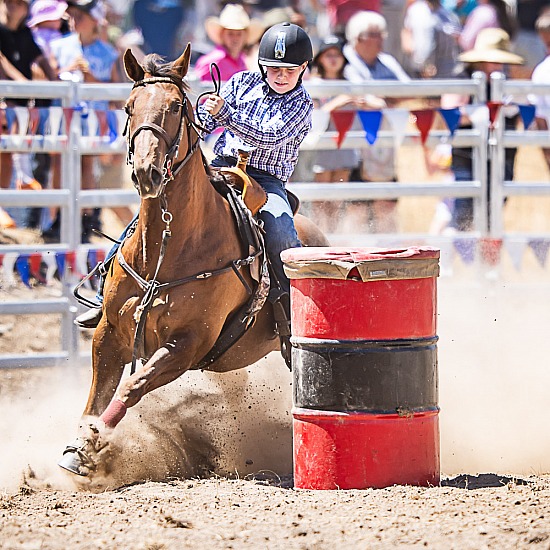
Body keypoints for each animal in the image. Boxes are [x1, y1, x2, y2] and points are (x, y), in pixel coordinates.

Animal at [58, 46, 330, 478]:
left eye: (175, 106)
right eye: (129, 106)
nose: (146, 172)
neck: (166, 252)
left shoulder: (186, 346)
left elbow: (130, 388)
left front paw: (94, 445)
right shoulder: (109, 333)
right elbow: (96, 396)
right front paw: (79, 446)